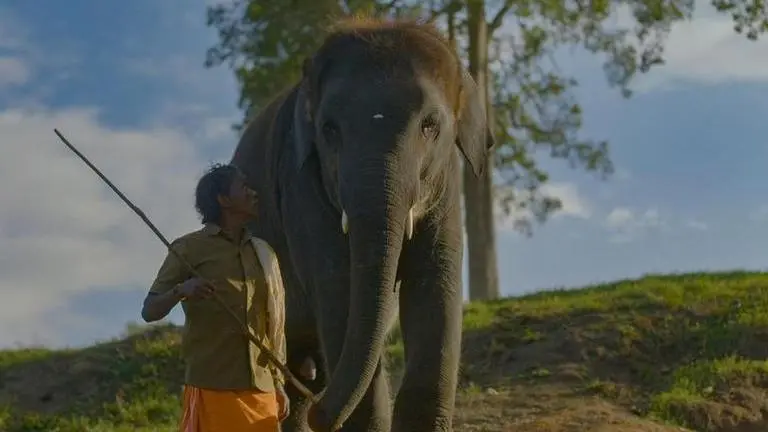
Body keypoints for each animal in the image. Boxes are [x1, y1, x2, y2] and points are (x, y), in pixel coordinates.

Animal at [230, 17, 494, 432]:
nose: (323, 415)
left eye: (430, 125)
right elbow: (340, 291)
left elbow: (435, 289)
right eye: (329, 129)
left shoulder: (447, 188)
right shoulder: (302, 186)